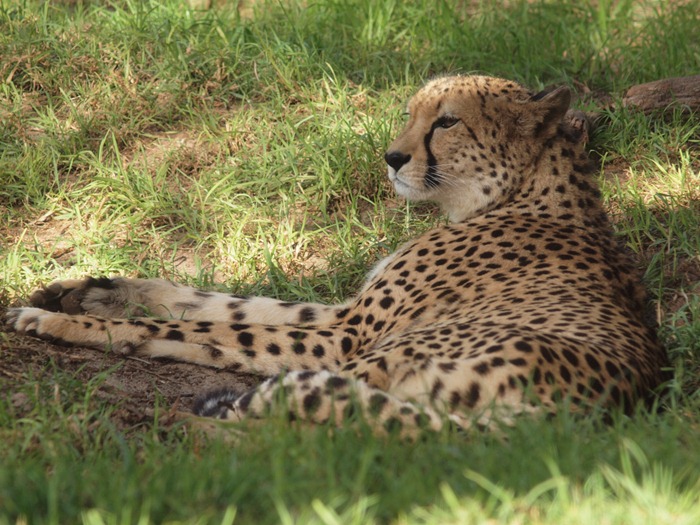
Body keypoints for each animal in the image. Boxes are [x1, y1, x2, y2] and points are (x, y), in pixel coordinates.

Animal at [7, 74, 670, 437]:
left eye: (447, 122)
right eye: (411, 114)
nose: (392, 158)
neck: (518, 192)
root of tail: (591, 412)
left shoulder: (344, 337)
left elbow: (207, 328)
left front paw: (56, 321)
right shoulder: (342, 318)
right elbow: (223, 302)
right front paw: (91, 291)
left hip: (375, 362)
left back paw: (178, 427)